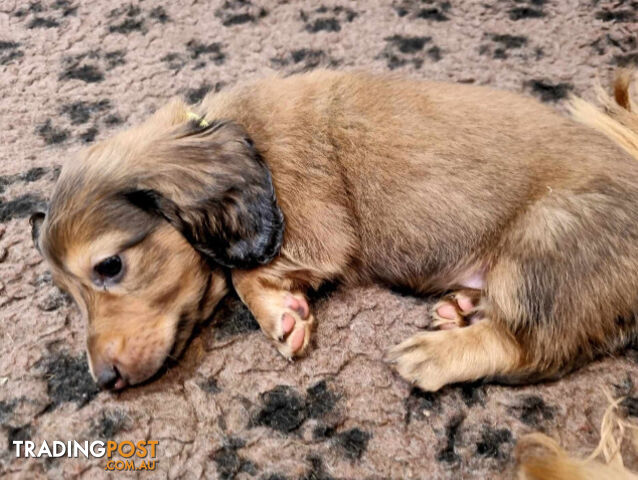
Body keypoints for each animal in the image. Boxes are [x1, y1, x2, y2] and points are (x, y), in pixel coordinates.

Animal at [30, 72, 638, 394]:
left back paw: (435, 354)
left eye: (110, 266)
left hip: (547, 238)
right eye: (67, 292)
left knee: (529, 348)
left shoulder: (316, 230)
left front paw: (280, 315)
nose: (102, 380)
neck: (247, 136)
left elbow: (240, 274)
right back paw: (462, 307)